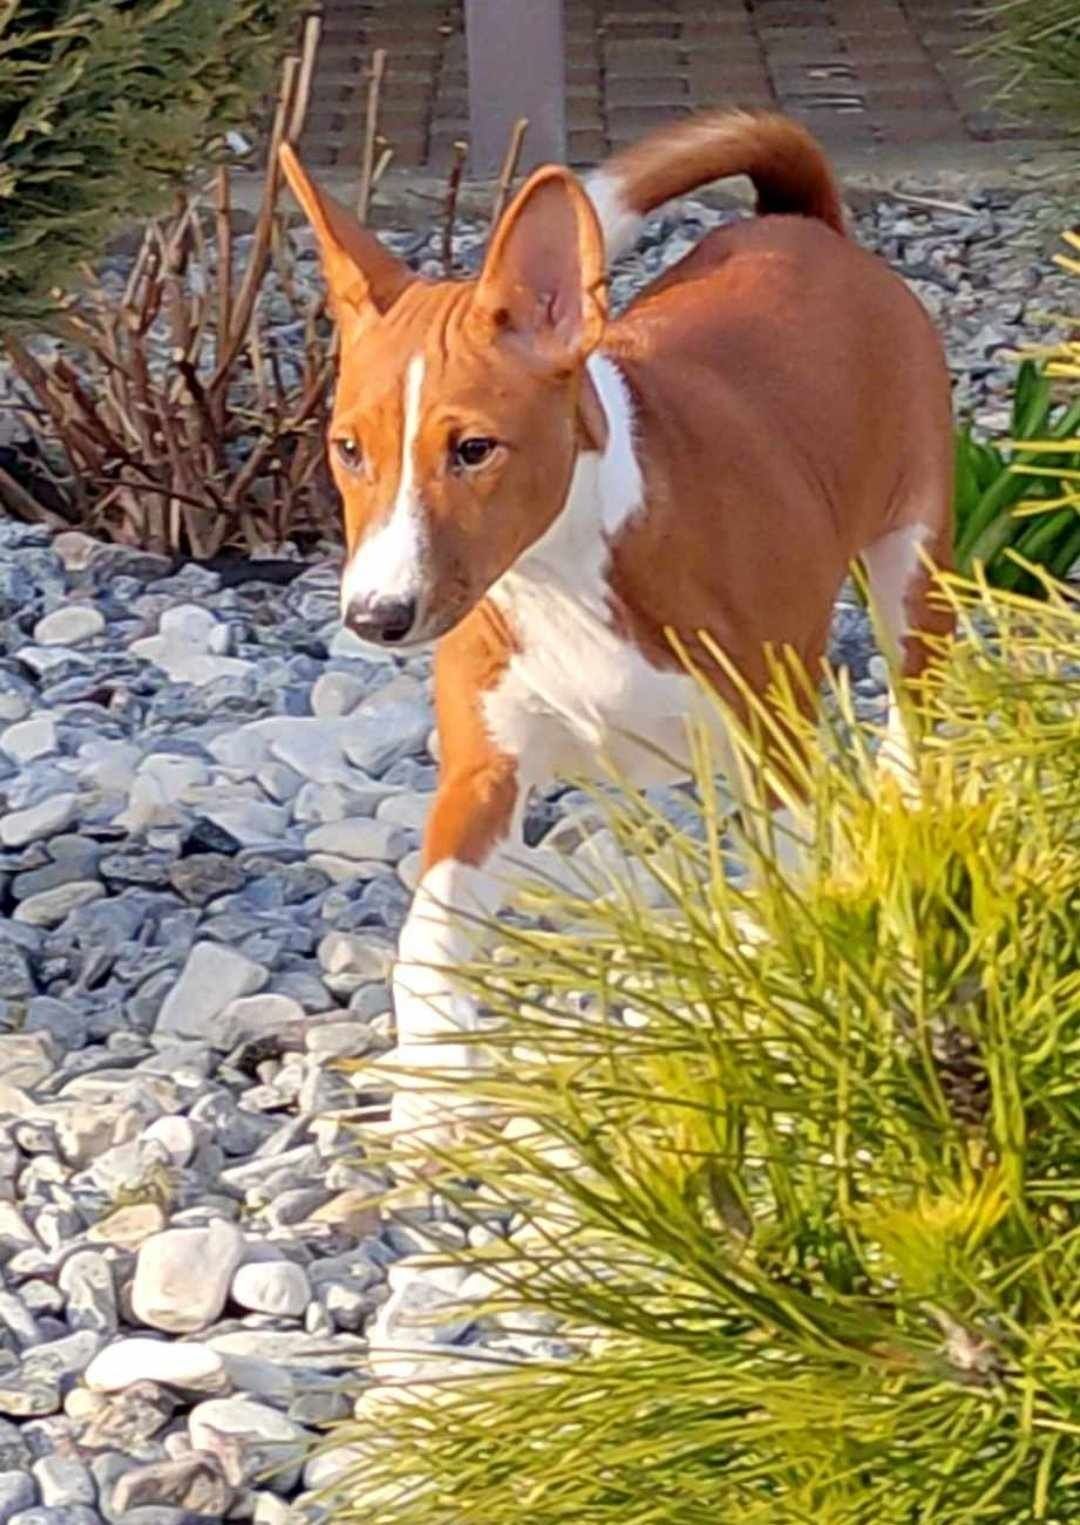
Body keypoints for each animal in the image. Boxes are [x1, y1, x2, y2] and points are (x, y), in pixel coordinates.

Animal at [279, 112, 951, 1140]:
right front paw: (430, 1100)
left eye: (473, 449)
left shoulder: (774, 748)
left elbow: (795, 906)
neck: (563, 580)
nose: (377, 616)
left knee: (910, 725)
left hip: (910, 573)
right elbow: (427, 936)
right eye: (348, 449)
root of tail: (804, 227)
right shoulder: (484, 770)